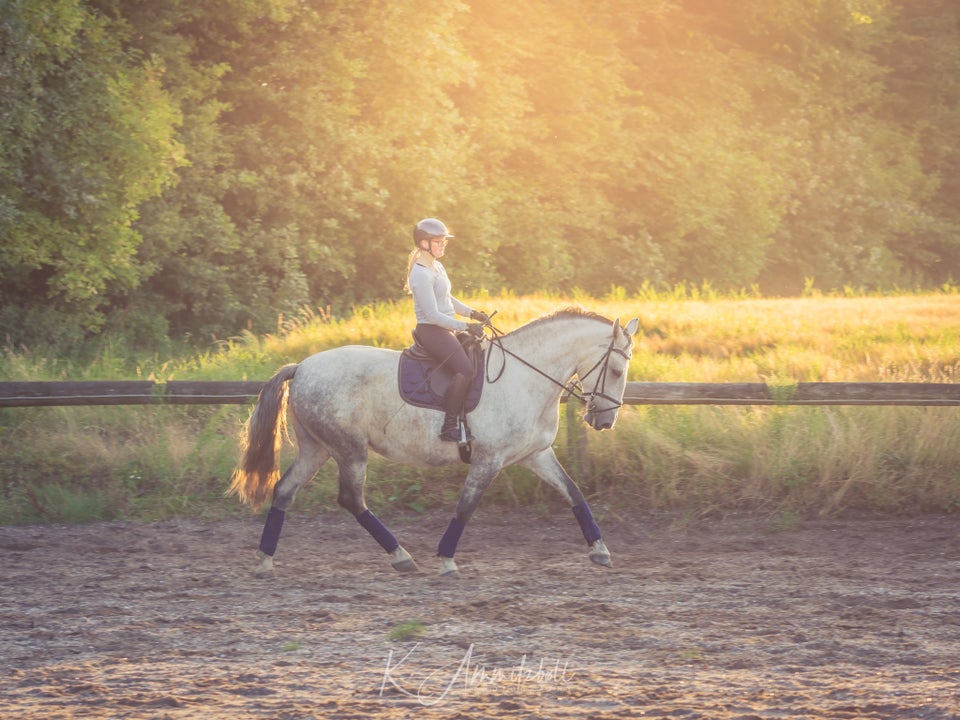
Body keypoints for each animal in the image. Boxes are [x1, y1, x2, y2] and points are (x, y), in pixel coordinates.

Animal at [229, 306, 640, 576]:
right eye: (616, 369)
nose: (604, 421)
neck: (526, 378)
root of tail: (301, 367)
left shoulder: (535, 454)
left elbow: (574, 493)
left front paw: (600, 550)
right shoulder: (489, 459)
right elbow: (465, 507)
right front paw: (446, 559)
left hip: (318, 449)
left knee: (285, 490)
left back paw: (265, 560)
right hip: (349, 449)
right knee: (351, 499)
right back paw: (401, 556)